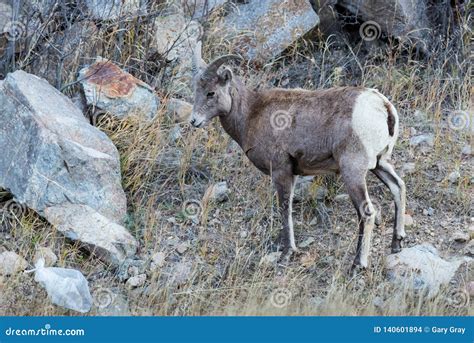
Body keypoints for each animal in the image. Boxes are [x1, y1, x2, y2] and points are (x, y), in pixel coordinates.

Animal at [191, 41, 406, 270]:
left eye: (211, 93)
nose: (194, 121)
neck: (250, 114)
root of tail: (383, 106)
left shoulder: (281, 171)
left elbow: (285, 209)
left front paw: (287, 253)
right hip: (380, 163)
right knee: (398, 187)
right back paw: (397, 243)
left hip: (353, 172)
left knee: (367, 213)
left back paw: (358, 264)